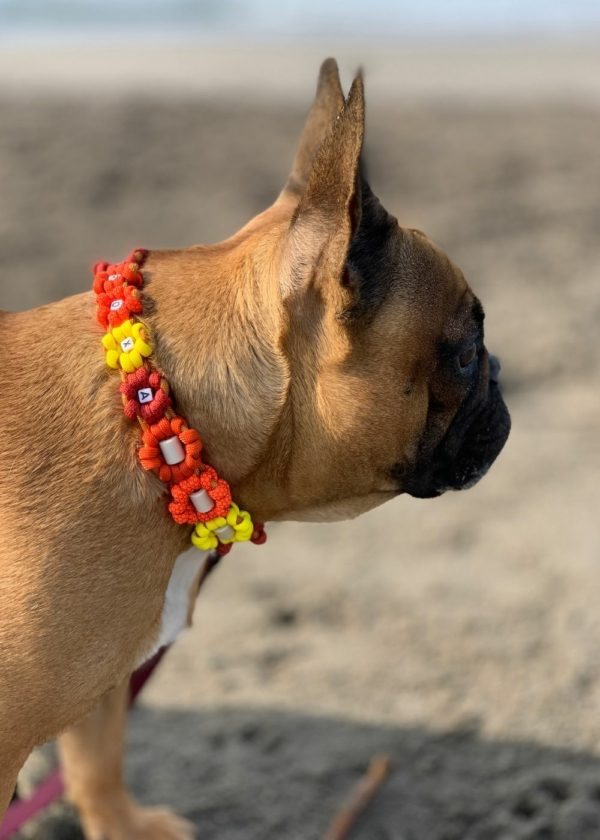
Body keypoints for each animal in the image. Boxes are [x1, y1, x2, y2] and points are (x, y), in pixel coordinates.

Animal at [0, 60, 508, 840]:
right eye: (463, 355)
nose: (501, 376)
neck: (161, 418)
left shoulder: (105, 676)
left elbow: (97, 758)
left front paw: (124, 826)